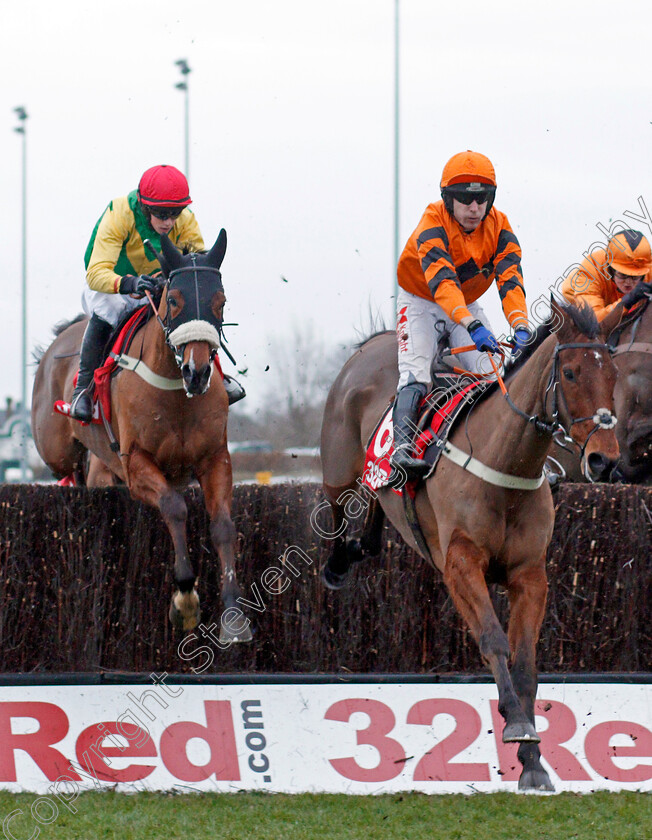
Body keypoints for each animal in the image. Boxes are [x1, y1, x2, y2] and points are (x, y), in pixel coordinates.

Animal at [33, 228, 252, 636]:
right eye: (175, 299)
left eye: (221, 301)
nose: (197, 372)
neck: (174, 389)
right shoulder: (136, 463)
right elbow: (175, 507)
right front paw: (185, 598)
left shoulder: (214, 457)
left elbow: (223, 525)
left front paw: (233, 613)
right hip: (58, 451)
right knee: (68, 474)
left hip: (104, 469)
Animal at [320, 298, 620, 792]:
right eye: (572, 372)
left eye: (612, 373)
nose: (604, 460)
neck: (505, 464)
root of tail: (377, 342)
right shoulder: (460, 565)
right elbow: (494, 641)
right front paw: (516, 725)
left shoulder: (529, 574)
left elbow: (525, 663)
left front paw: (533, 763)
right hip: (338, 465)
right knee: (337, 509)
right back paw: (338, 563)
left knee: (378, 507)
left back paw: (363, 545)